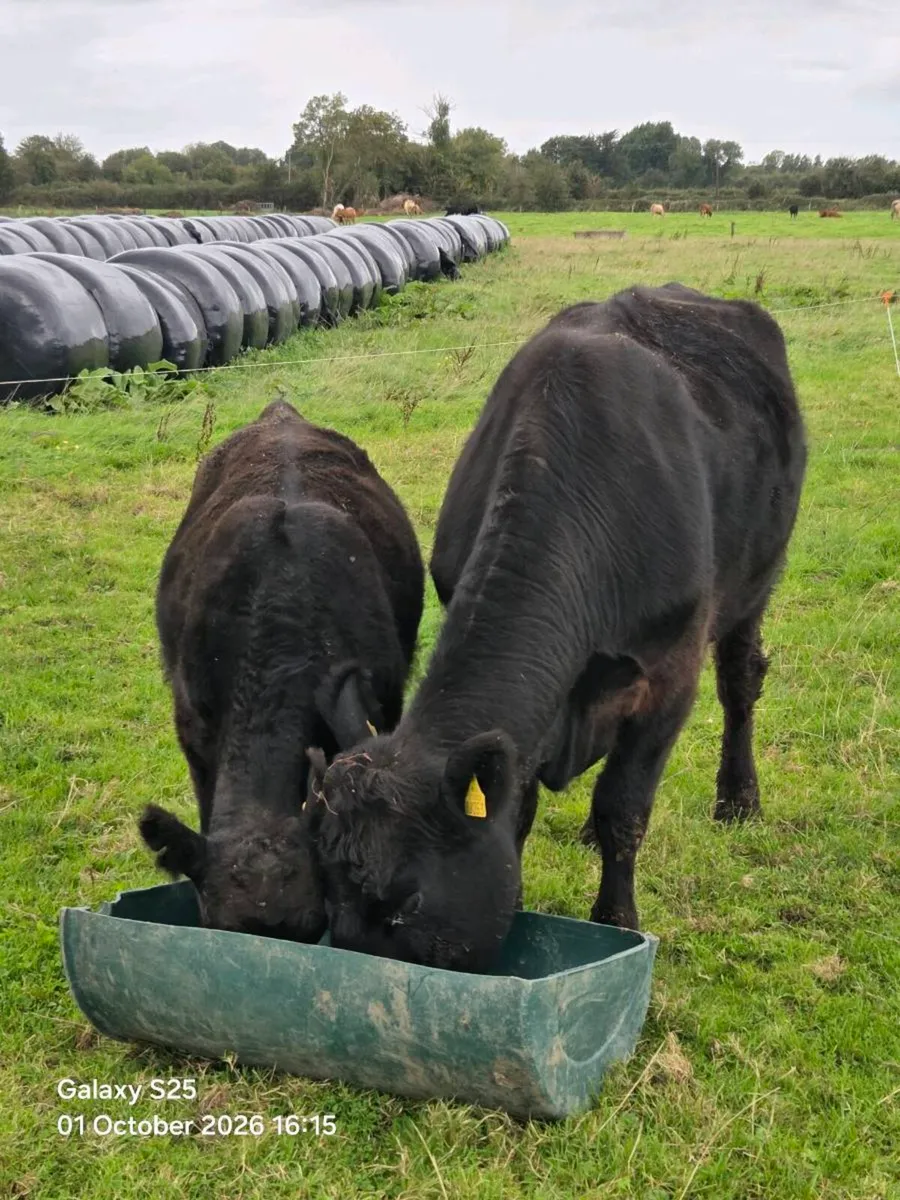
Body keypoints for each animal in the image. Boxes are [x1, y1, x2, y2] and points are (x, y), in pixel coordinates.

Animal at [309, 284, 807, 973]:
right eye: (329, 889)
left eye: (408, 902)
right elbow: (519, 807)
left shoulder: (668, 679)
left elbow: (624, 805)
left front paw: (617, 921)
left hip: (758, 578)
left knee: (740, 683)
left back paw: (738, 799)